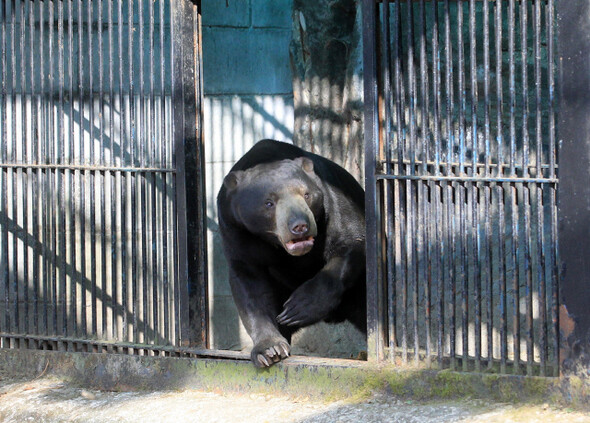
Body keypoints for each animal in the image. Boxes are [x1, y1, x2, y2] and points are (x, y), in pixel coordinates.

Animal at [217, 139, 366, 368]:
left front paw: (297, 309)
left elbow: (350, 241)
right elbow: (250, 285)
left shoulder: (333, 202)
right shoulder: (235, 230)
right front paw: (269, 351)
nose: (300, 226)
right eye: (269, 202)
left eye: (306, 194)